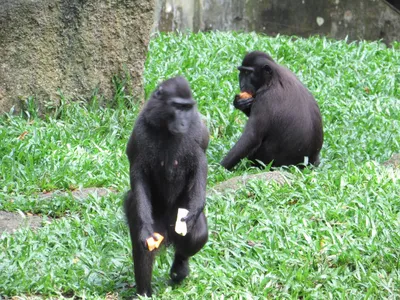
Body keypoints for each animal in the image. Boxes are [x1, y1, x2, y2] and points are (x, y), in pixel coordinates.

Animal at [124, 76, 209, 296]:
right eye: (177, 107)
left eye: (187, 108)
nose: (183, 122)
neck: (166, 130)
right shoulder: (140, 132)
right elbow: (139, 175)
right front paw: (145, 227)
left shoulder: (197, 130)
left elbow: (200, 164)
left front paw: (196, 209)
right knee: (143, 246)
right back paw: (144, 292)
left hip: (178, 213)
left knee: (197, 234)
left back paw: (180, 266)